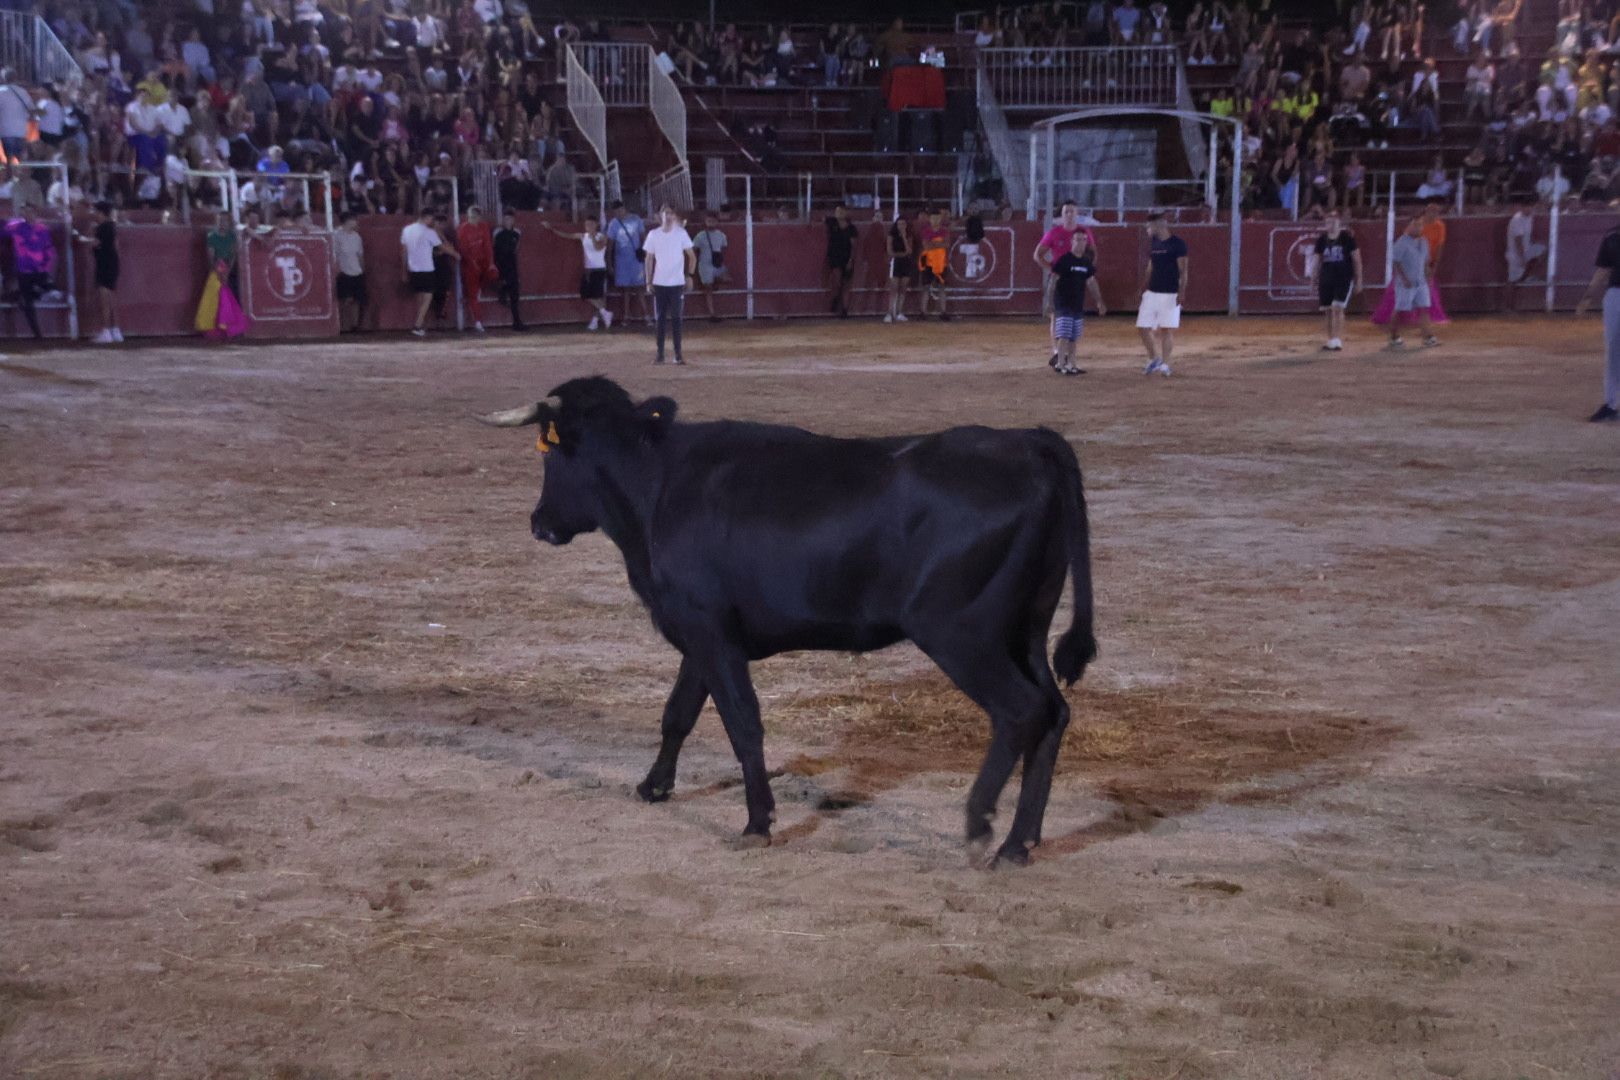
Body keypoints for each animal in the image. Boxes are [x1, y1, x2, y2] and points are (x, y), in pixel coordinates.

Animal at [473, 375, 1095, 867]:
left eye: (549, 454)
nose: (539, 522)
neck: (659, 487)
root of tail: (1027, 441)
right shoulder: (702, 636)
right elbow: (678, 714)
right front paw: (653, 786)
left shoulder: (711, 634)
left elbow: (743, 724)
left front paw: (756, 823)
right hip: (1025, 633)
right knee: (1054, 714)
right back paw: (1021, 842)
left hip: (961, 635)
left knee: (1021, 711)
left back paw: (981, 825)